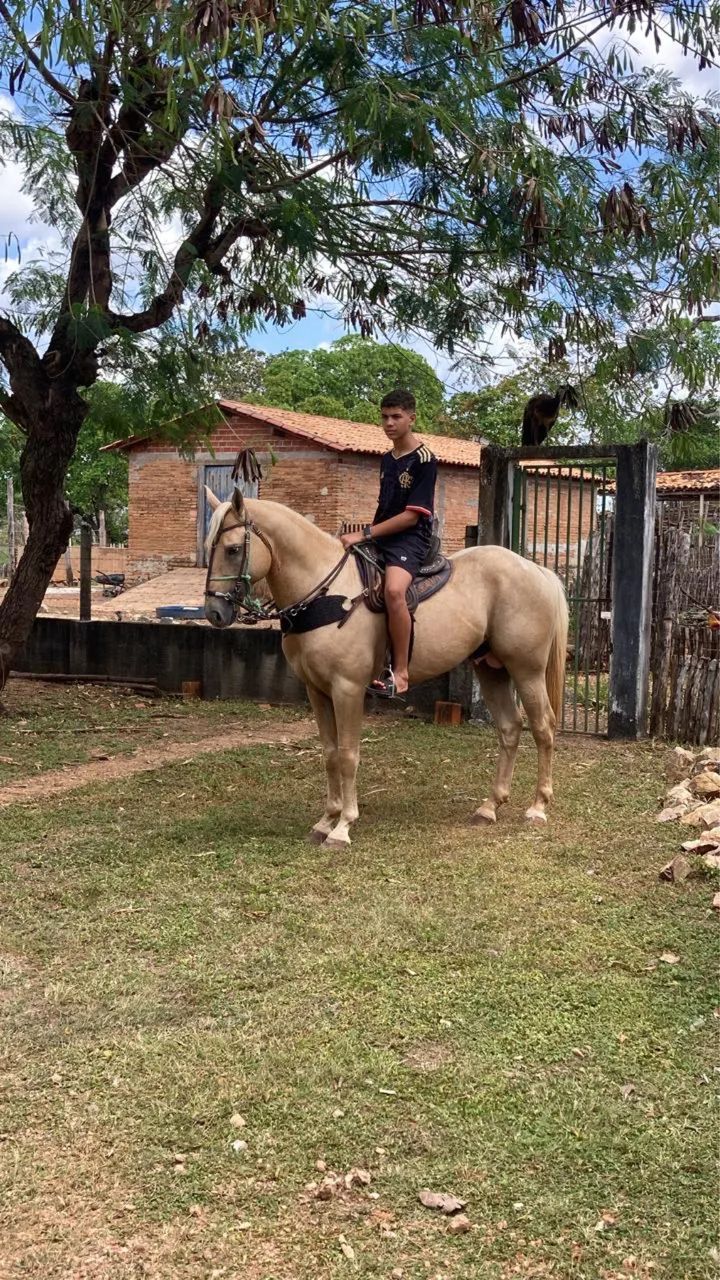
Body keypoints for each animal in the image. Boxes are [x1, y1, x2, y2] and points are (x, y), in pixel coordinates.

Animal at [203, 488, 569, 849]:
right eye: (210, 547)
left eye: (233, 549)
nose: (214, 612)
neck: (325, 593)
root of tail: (535, 569)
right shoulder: (316, 690)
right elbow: (330, 753)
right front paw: (326, 820)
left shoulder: (347, 688)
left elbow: (348, 754)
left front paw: (343, 826)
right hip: (491, 669)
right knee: (509, 728)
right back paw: (490, 806)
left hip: (526, 670)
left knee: (543, 727)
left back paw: (537, 806)